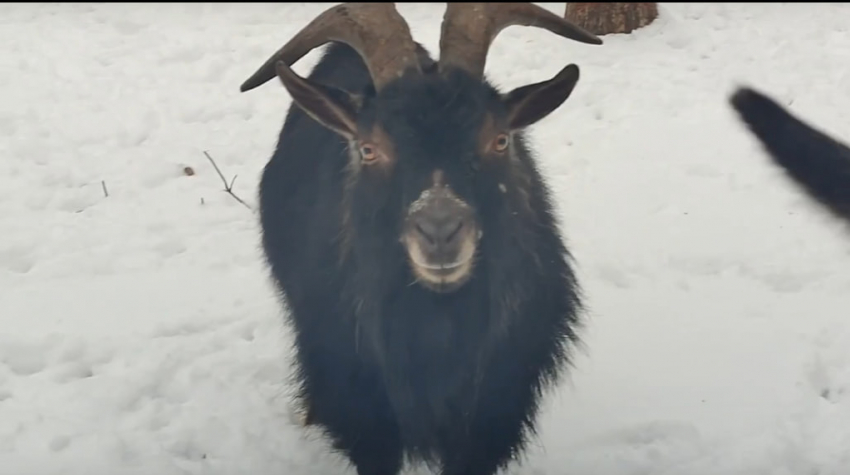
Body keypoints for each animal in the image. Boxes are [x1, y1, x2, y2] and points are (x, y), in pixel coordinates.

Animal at [235, 3, 600, 475]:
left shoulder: (491, 415)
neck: (437, 329)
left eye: (500, 140)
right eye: (368, 149)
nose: (439, 229)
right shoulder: (365, 413)